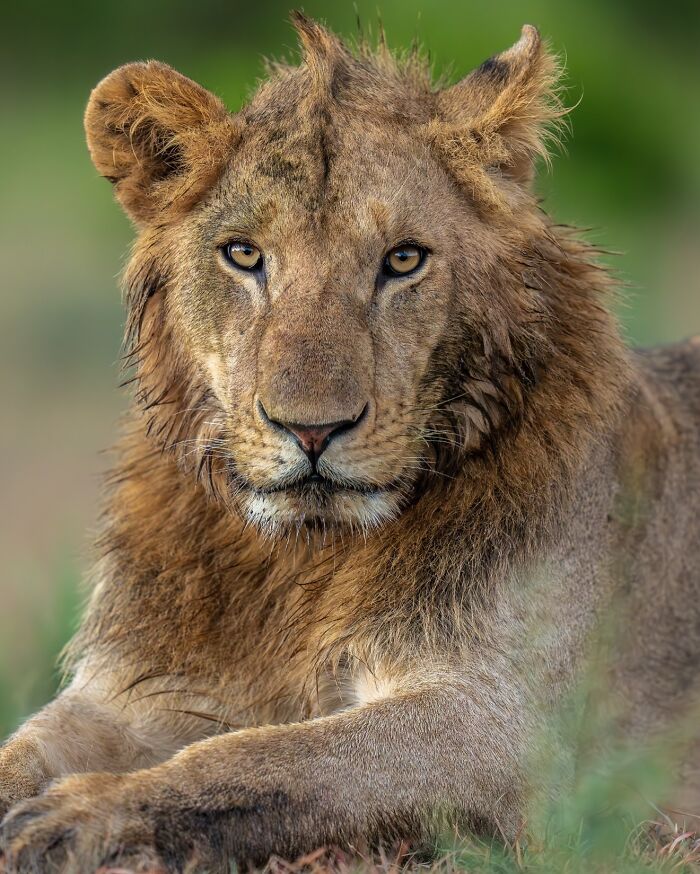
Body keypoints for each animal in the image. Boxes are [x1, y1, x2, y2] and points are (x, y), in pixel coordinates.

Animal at [1, 13, 699, 873]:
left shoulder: (512, 735)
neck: (301, 562)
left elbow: (262, 759)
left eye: (403, 260)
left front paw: (82, 817)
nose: (311, 428)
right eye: (243, 254)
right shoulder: (140, 690)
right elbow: (25, 747)